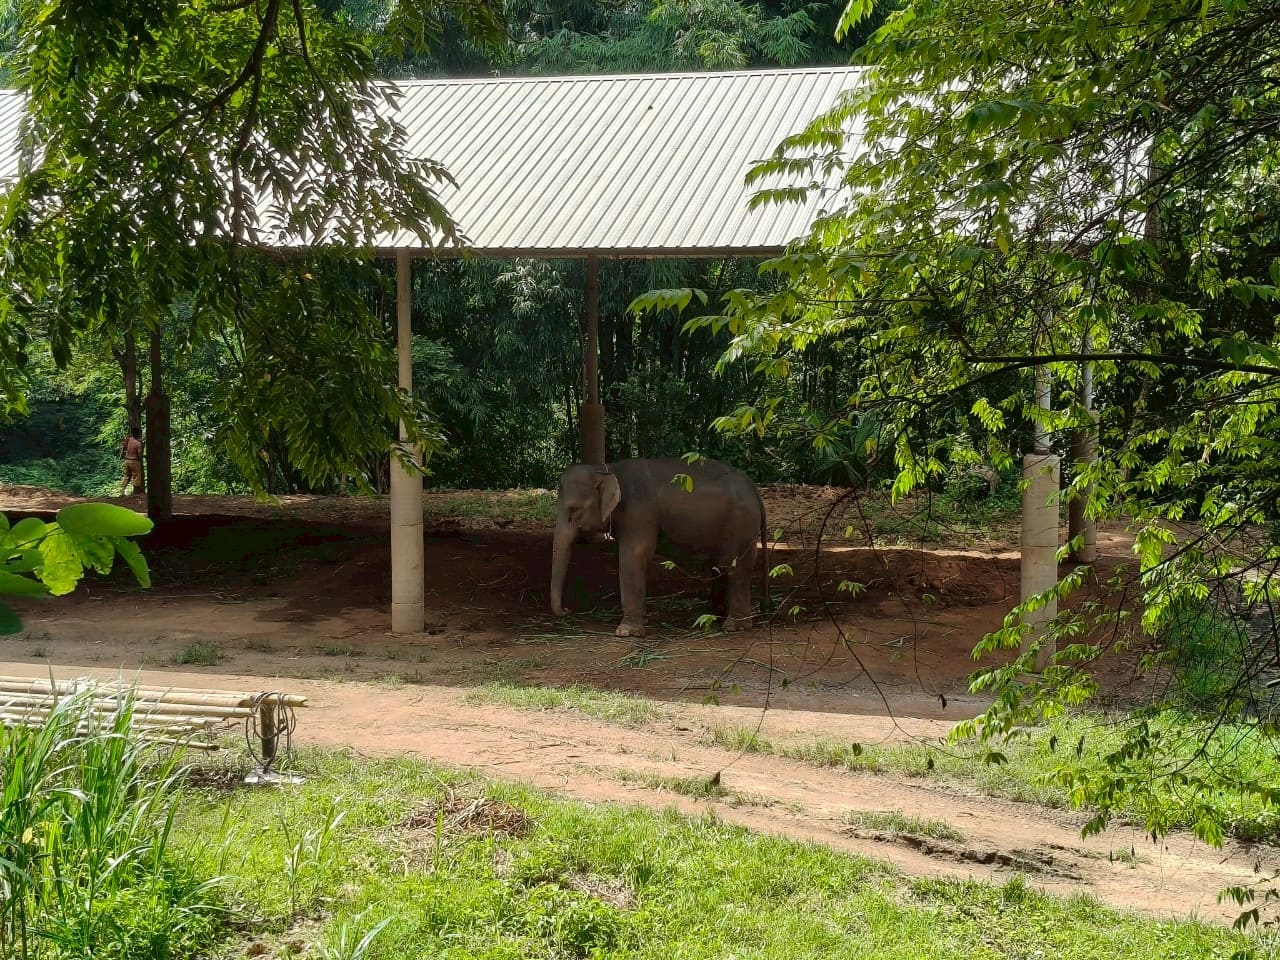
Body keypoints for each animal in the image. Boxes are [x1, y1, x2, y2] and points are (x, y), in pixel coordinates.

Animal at [549, 457, 767, 638]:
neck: (607, 469)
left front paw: (626, 632)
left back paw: (734, 627)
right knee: (722, 568)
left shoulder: (639, 511)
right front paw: (642, 622)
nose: (567, 610)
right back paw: (714, 616)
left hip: (741, 526)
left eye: (574, 510)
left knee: (736, 569)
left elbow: (633, 555)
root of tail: (754, 488)